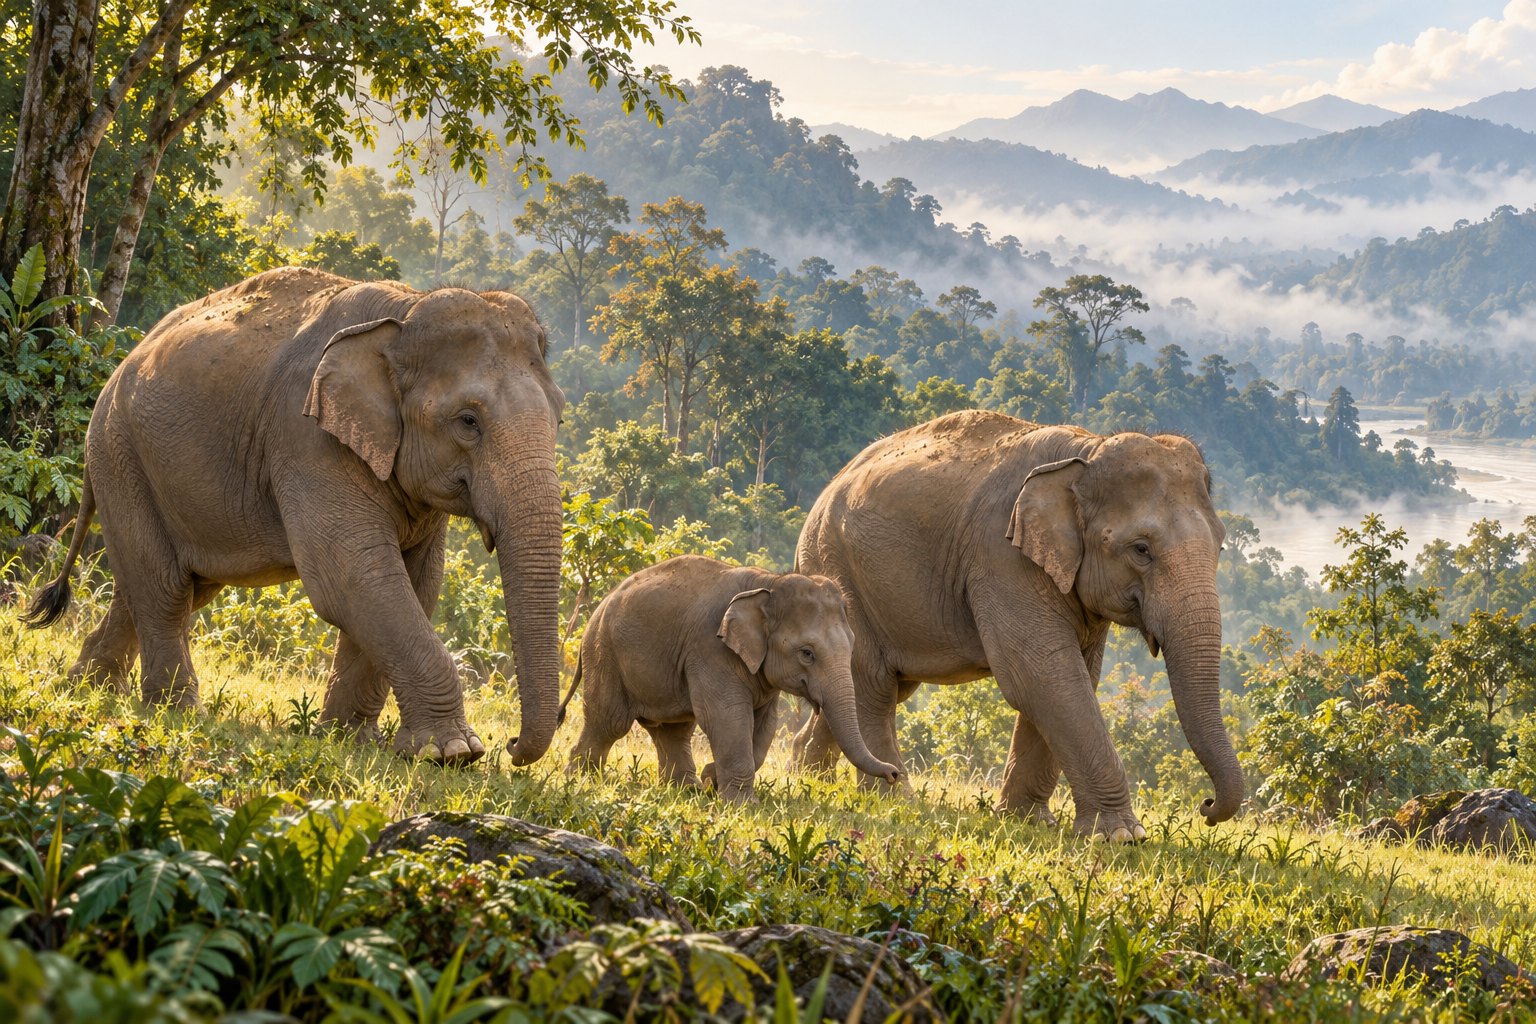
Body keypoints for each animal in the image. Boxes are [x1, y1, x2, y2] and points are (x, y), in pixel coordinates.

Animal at [24, 266, 564, 765]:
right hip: (120, 452)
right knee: (164, 586)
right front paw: (453, 753)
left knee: (168, 585)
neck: (405, 312)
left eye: (559, 417)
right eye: (468, 421)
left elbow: (414, 582)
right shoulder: (306, 439)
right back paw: (176, 711)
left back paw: (88, 687)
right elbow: (352, 578)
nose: (511, 746)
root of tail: (118, 367)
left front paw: (350, 740)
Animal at [560, 555, 901, 802]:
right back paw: (580, 779)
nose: (894, 774)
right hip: (604, 654)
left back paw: (686, 790)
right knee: (610, 722)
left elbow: (764, 724)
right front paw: (740, 804)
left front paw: (712, 780)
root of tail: (596, 610)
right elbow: (727, 716)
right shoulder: (711, 649)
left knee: (672, 730)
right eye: (807, 653)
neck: (769, 583)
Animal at [791, 410, 1243, 841]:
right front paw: (1121, 836)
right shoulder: (1002, 557)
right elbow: (1041, 675)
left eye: (1220, 545)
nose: (1206, 806)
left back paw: (808, 774)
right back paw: (895, 797)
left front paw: (1026, 820)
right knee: (874, 682)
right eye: (1141, 549)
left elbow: (1072, 675)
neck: (1086, 452)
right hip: (839, 570)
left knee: (874, 684)